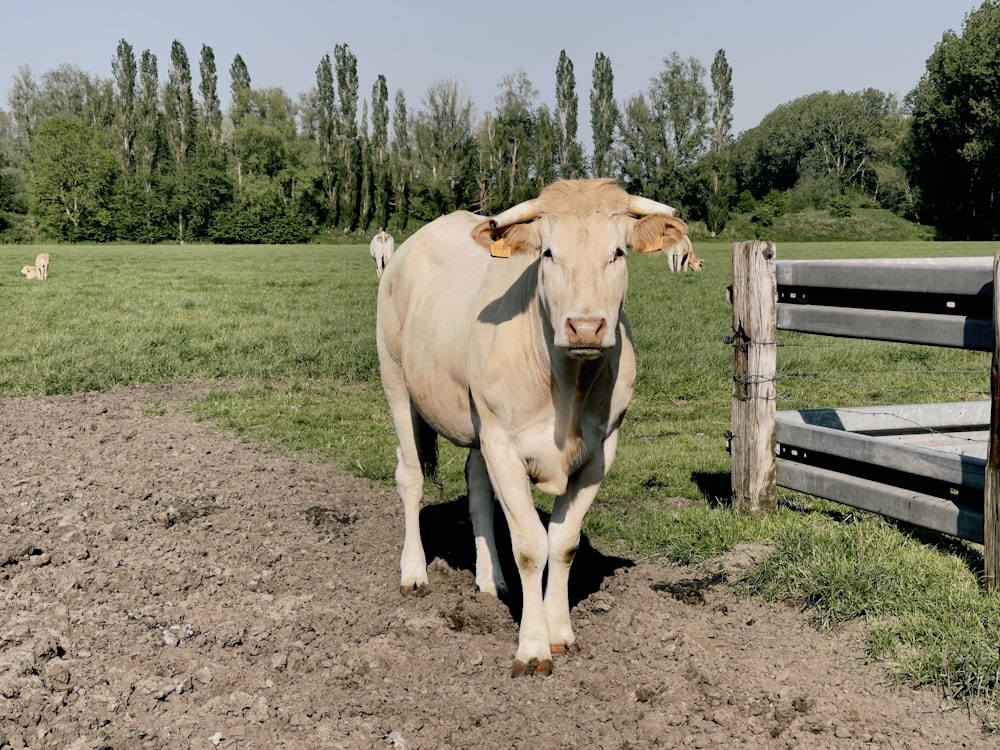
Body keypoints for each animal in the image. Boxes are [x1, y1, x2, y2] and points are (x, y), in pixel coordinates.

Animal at [376, 179, 688, 680]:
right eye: (548, 254)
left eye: (618, 252)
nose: (585, 326)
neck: (568, 386)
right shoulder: (504, 444)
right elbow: (528, 544)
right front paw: (533, 645)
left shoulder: (601, 452)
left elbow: (562, 543)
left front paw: (559, 631)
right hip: (396, 381)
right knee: (410, 476)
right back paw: (415, 572)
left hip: (477, 420)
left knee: (477, 488)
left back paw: (491, 581)